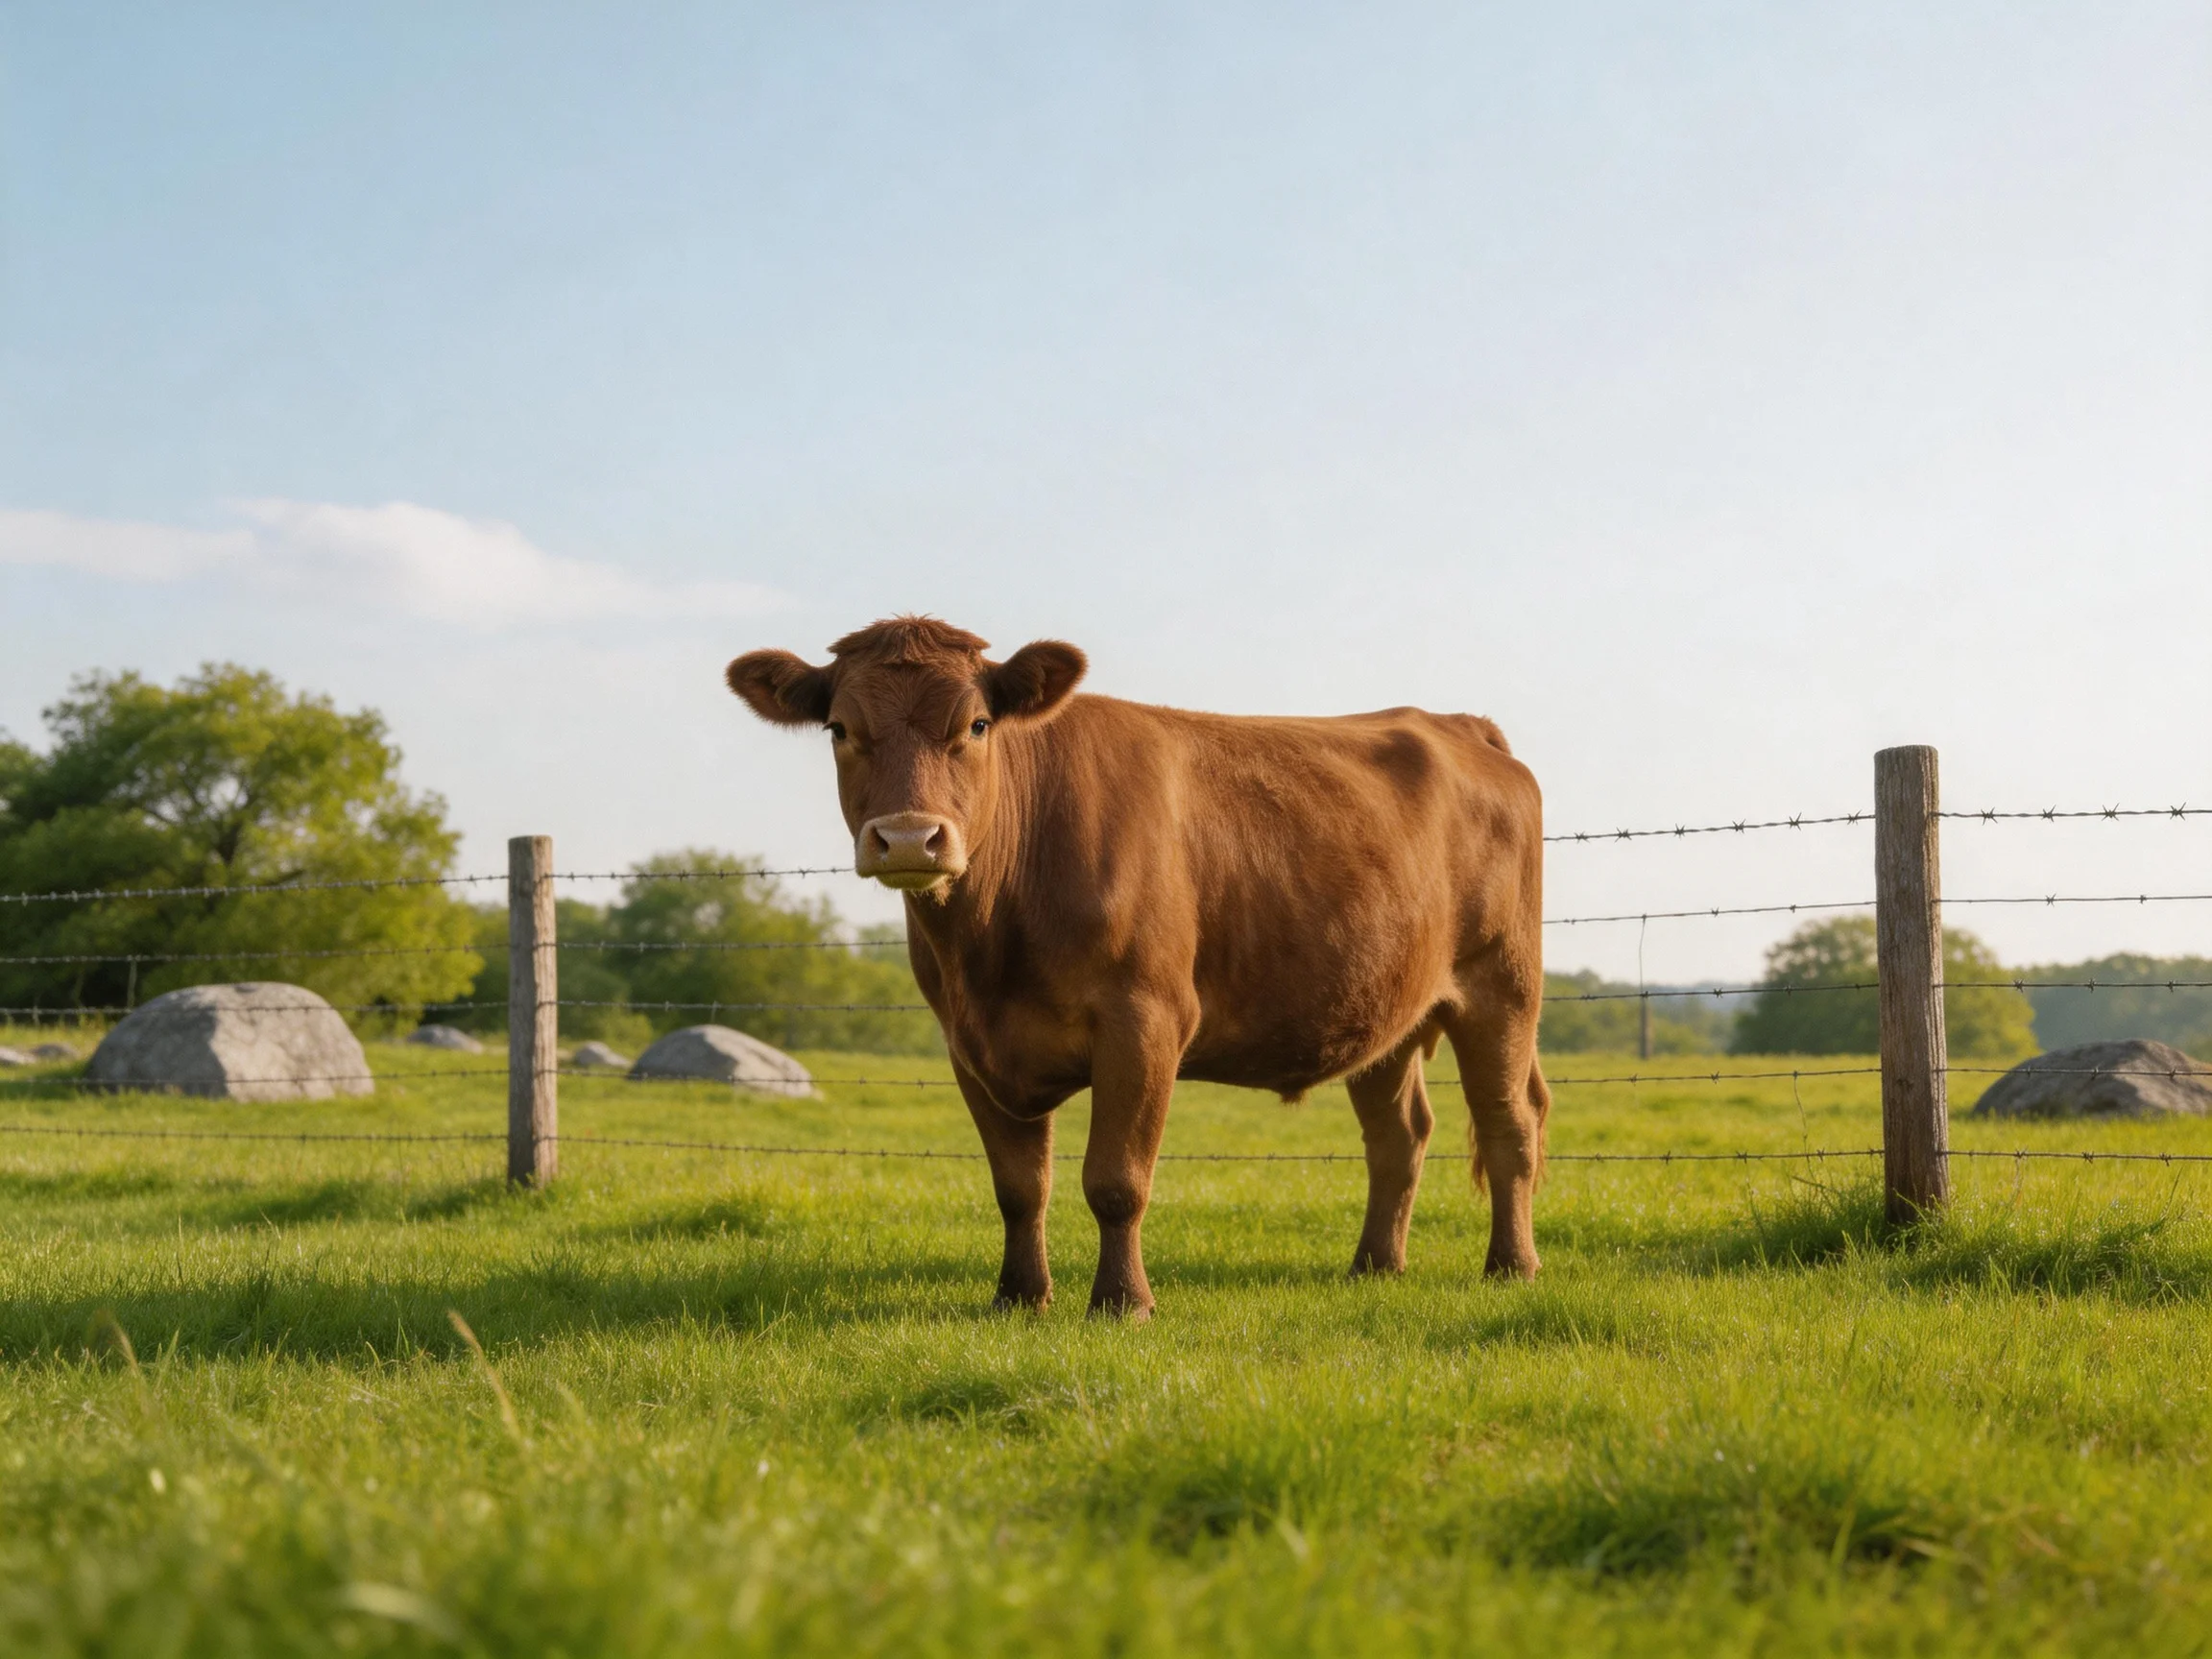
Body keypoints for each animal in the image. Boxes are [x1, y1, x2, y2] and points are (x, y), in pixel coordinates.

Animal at [726, 617, 1548, 1319]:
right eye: (840, 729)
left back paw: (1511, 1266)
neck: (990, 946)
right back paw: (1375, 1265)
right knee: (1399, 1135)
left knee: (1509, 1122)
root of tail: (1455, 724)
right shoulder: (970, 1043)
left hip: (1501, 987)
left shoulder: (1144, 1020)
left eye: (977, 725)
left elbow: (1116, 1181)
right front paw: (1019, 1297)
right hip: (1386, 1010)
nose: (907, 838)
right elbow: (1020, 1186)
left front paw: (1123, 1303)